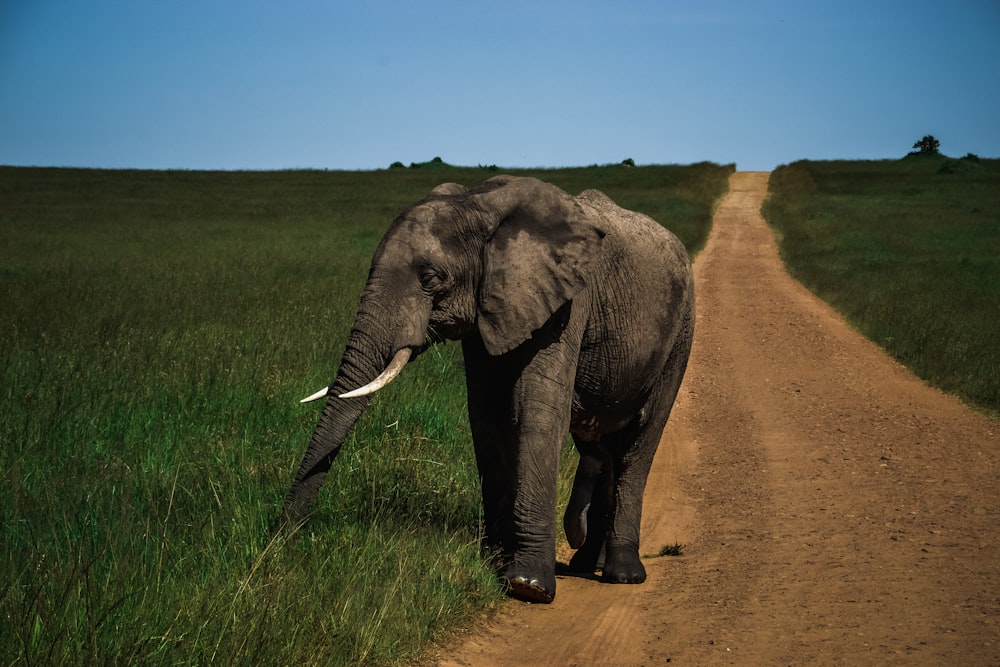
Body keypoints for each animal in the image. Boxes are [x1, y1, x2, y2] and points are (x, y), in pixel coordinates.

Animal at [276, 175, 696, 604]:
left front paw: (528, 585)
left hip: (681, 333)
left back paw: (623, 574)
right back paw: (583, 565)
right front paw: (494, 565)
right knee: (601, 447)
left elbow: (536, 411)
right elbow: (486, 415)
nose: (284, 533)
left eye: (430, 278)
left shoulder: (566, 304)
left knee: (639, 444)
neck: (480, 206)